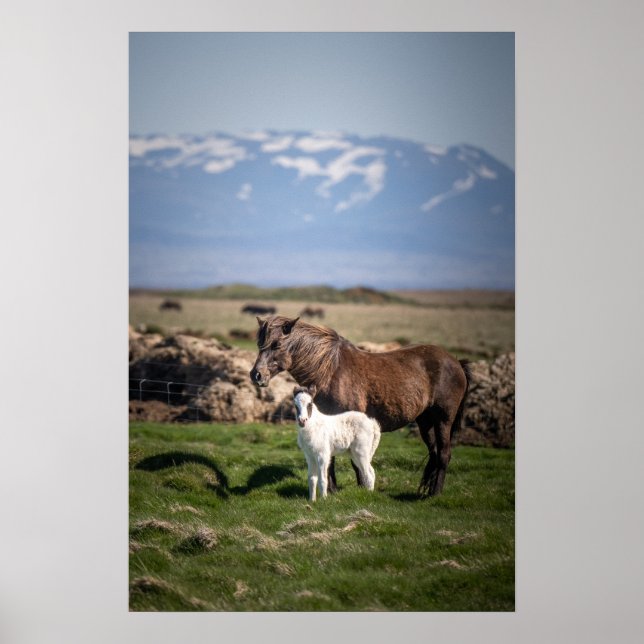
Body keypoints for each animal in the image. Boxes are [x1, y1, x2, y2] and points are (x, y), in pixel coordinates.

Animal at [250, 315, 471, 497]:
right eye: (260, 343)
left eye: (277, 344)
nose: (256, 375)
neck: (330, 370)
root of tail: (455, 362)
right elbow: (332, 460)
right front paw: (335, 489)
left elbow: (354, 462)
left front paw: (360, 488)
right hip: (425, 422)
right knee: (434, 453)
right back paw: (426, 489)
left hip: (443, 420)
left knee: (444, 454)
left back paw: (435, 493)